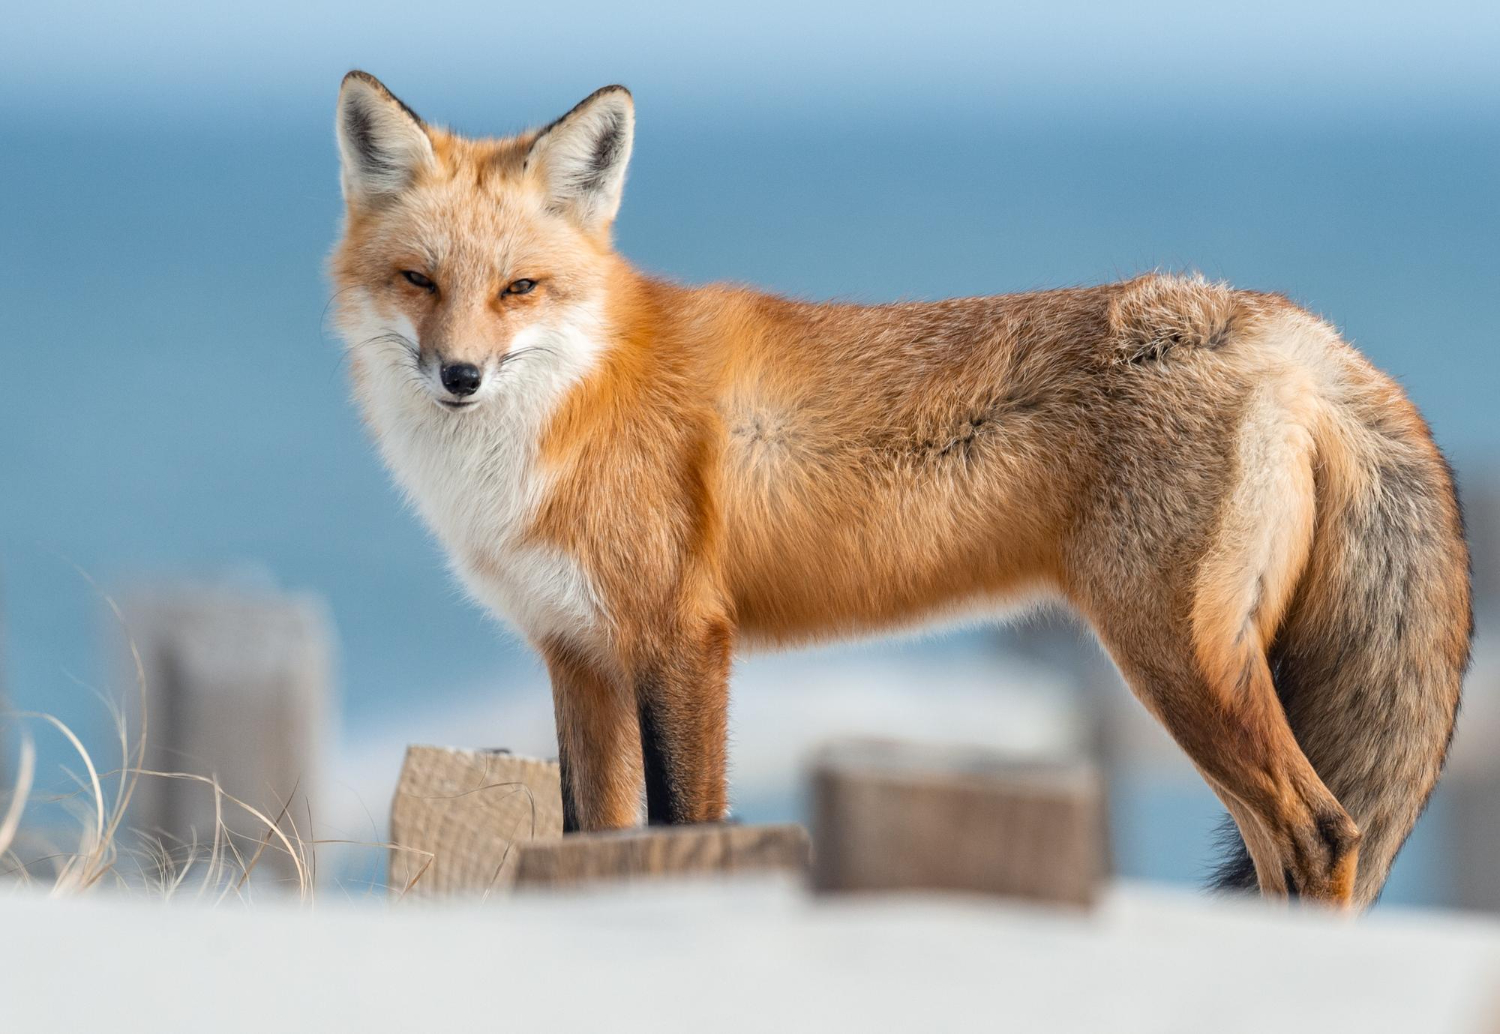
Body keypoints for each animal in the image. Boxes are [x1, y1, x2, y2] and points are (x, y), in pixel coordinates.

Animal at [330, 70, 1471, 908]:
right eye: (418, 281)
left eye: (518, 288)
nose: (459, 376)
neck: (574, 401)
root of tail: (1282, 322)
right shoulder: (578, 656)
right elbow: (588, 838)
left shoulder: (680, 640)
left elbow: (682, 823)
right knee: (1292, 847)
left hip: (1179, 661)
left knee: (1322, 833)